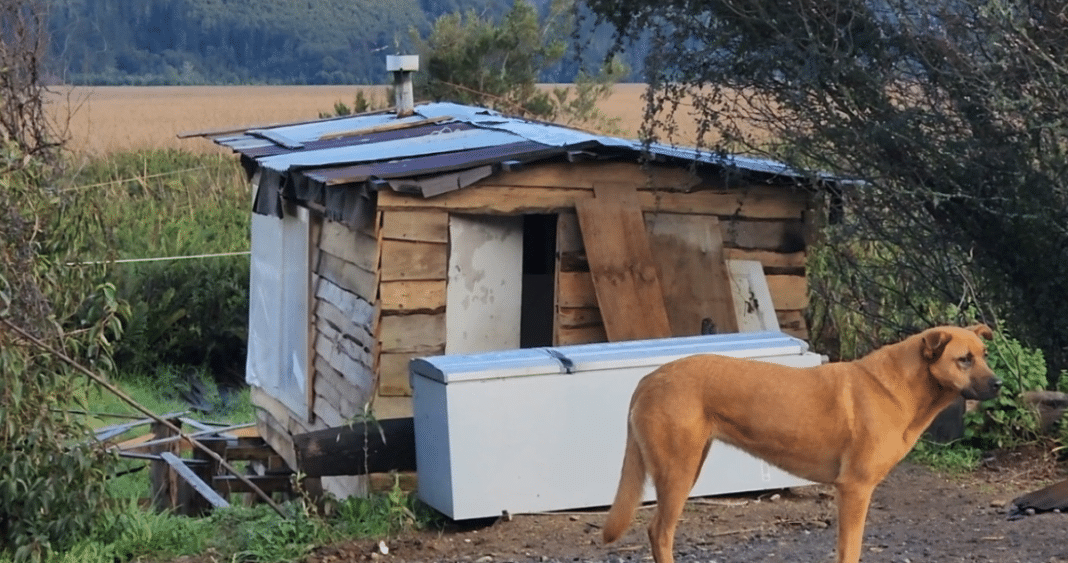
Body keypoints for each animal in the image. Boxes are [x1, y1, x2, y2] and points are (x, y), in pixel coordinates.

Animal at [606, 324, 1003, 559]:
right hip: (677, 473)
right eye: (964, 360)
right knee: (659, 532)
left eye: (985, 355)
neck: (904, 388)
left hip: (689, 465)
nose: (999, 383)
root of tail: (649, 378)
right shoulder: (854, 490)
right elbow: (850, 550)